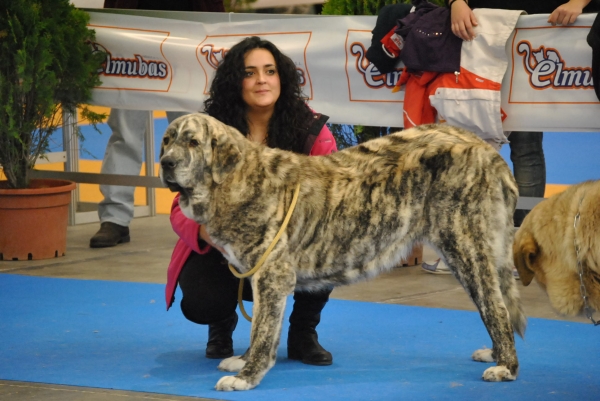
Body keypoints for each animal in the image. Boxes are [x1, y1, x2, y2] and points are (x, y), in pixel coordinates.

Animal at [158, 112, 524, 390]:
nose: (165, 162)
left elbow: (262, 329)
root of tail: (481, 146)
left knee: (496, 308)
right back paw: (496, 355)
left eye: (192, 142)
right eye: (167, 140)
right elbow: (260, 326)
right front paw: (244, 361)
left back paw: (506, 366)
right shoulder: (261, 278)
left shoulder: (272, 276)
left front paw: (247, 376)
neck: (236, 180)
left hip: (464, 247)